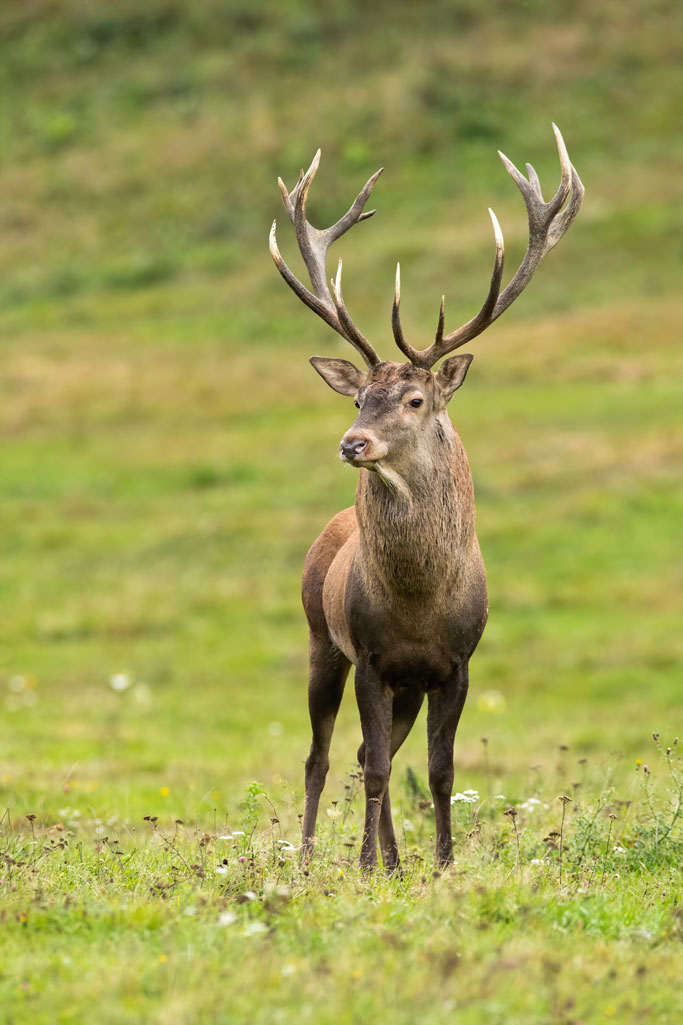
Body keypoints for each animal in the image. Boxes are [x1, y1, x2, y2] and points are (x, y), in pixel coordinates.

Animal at [268, 124, 582, 869]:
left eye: (414, 398)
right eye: (357, 395)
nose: (352, 442)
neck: (416, 604)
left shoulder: (456, 663)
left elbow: (438, 769)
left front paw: (439, 862)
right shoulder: (371, 659)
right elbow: (379, 767)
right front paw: (365, 866)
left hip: (402, 684)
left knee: (360, 751)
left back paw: (391, 856)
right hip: (321, 640)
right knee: (324, 756)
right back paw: (315, 856)